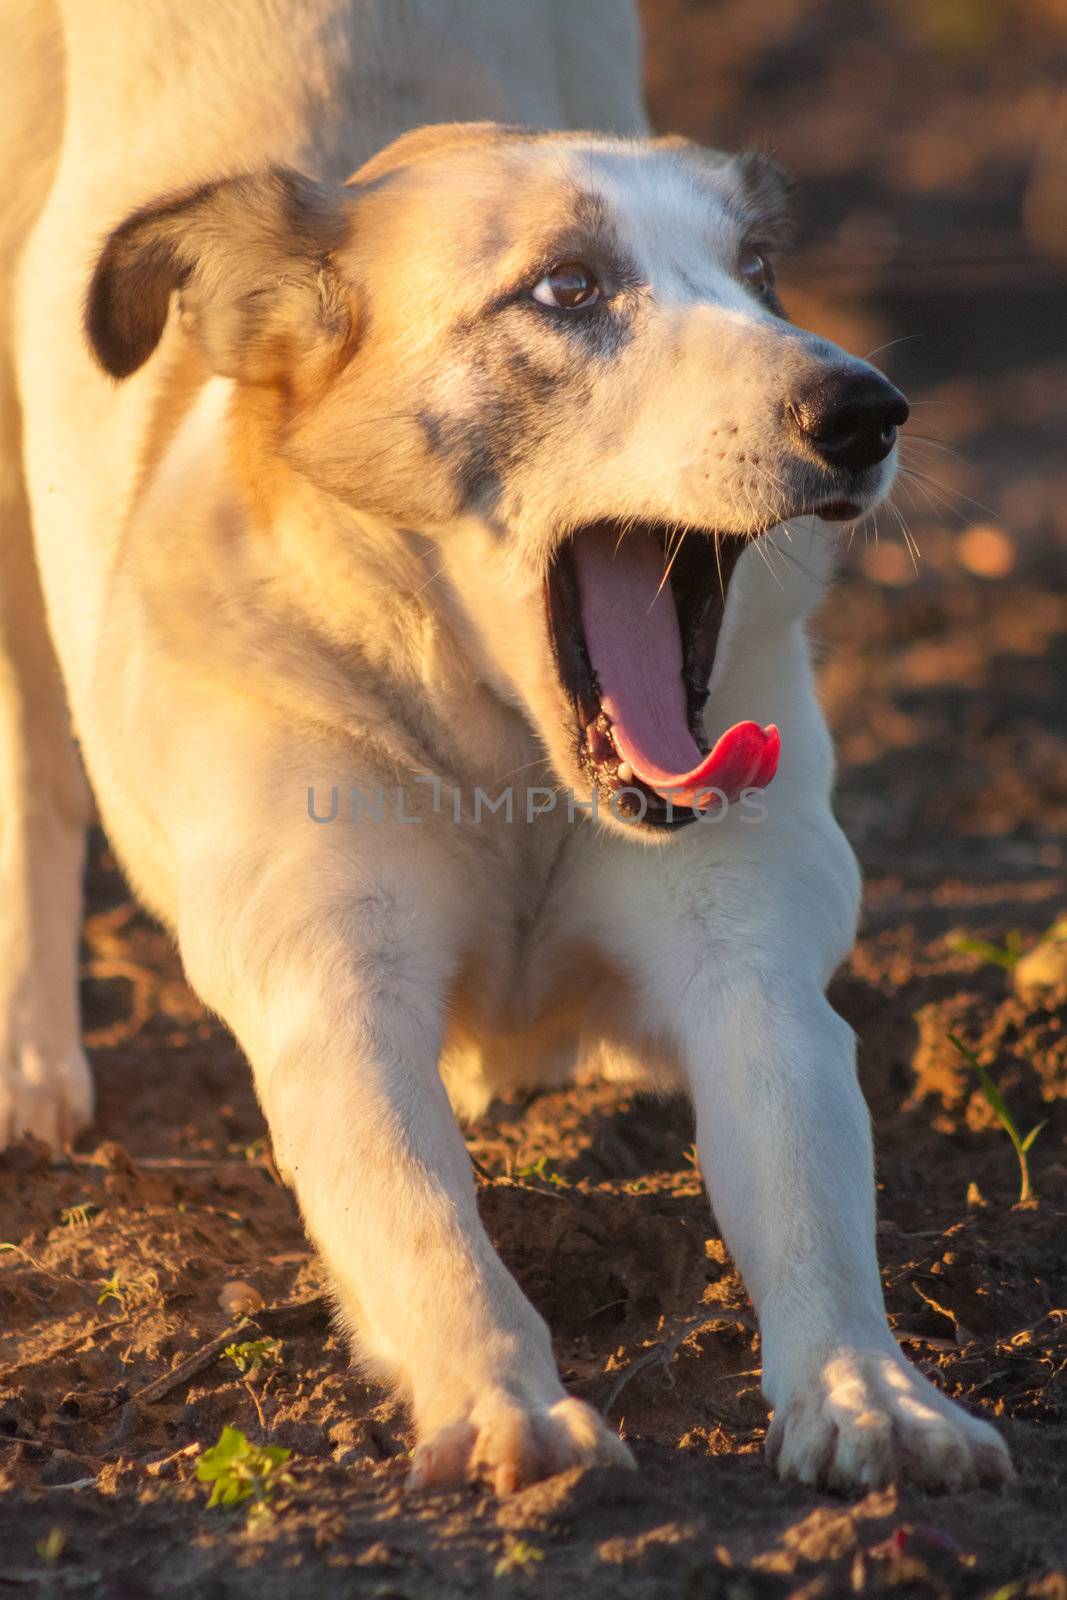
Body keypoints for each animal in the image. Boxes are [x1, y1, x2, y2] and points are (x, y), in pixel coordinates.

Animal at [2, 0, 1017, 1497]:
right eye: (568, 290)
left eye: (758, 273)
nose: (863, 408)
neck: (513, 773)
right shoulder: (335, 994)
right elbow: (422, 1216)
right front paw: (503, 1407)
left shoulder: (754, 975)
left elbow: (808, 1198)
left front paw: (871, 1395)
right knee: (31, 776)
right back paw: (32, 1071)